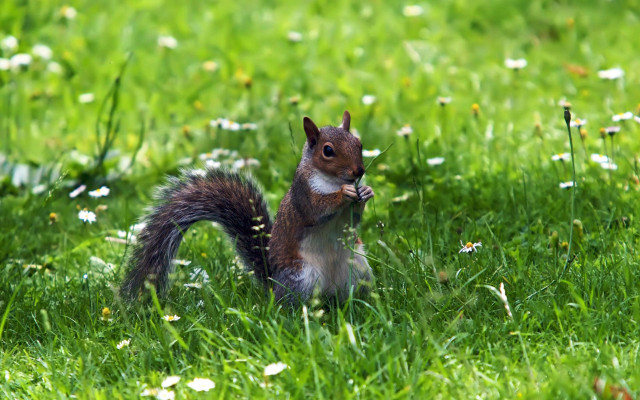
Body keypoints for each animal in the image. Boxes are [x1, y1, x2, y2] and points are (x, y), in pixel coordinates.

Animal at [121, 111, 374, 303]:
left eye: (359, 144)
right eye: (328, 151)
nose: (359, 171)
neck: (333, 181)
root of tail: (273, 283)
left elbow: (354, 219)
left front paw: (366, 191)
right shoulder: (303, 194)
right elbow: (316, 209)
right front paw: (344, 194)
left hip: (358, 268)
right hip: (302, 277)